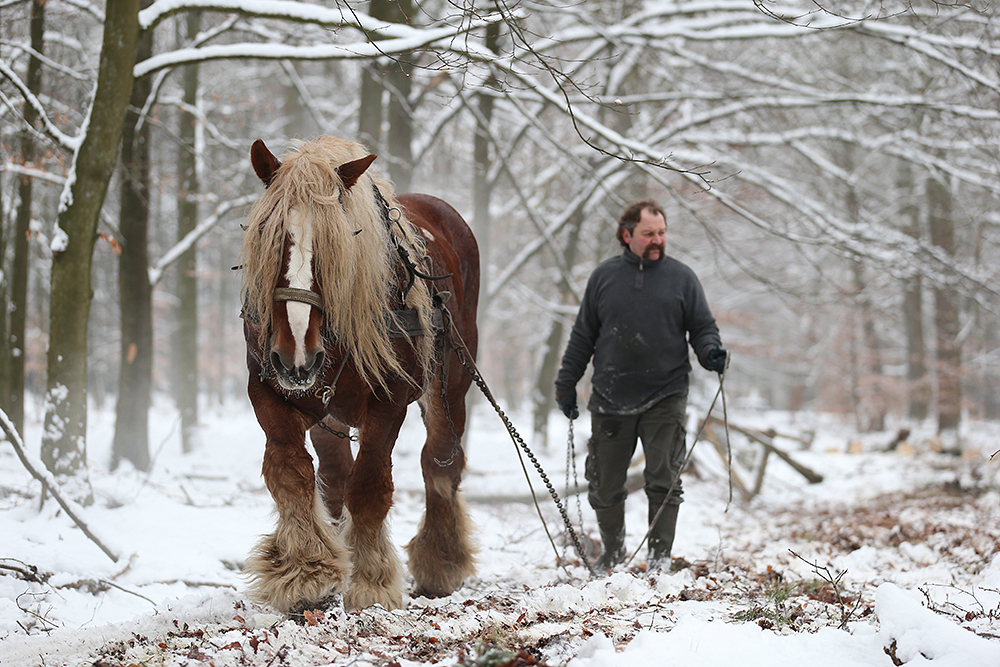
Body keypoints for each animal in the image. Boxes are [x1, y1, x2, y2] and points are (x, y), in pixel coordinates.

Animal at [240, 136, 478, 616]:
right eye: (268, 234)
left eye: (338, 245)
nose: (296, 357)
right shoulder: (270, 391)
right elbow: (290, 473)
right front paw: (306, 570)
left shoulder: (388, 402)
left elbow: (369, 486)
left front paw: (371, 581)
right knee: (334, 477)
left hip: (450, 388)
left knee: (440, 464)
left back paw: (440, 561)